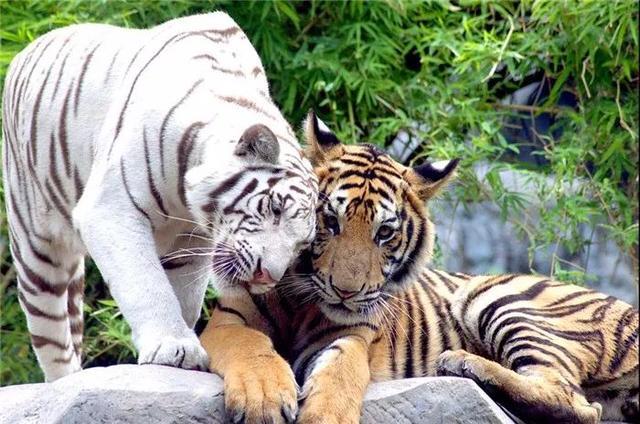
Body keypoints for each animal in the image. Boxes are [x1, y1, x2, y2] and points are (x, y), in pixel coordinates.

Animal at [1, 12, 317, 382]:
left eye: (301, 245)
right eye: (275, 208)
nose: (267, 276)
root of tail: (29, 46)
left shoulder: (190, 242)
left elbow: (182, 296)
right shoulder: (111, 209)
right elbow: (147, 285)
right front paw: (173, 348)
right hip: (36, 249)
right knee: (52, 338)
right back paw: (65, 383)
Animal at [199, 111, 639, 424]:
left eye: (385, 232)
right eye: (330, 221)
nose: (345, 291)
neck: (301, 302)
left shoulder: (352, 336)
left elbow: (340, 377)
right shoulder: (227, 319)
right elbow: (252, 346)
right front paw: (262, 399)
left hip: (495, 297)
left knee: (573, 400)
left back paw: (463, 363)